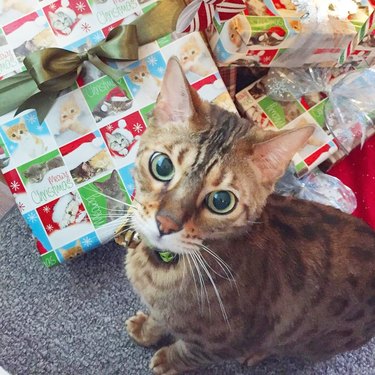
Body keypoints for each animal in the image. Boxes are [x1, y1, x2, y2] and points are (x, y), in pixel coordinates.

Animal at [124, 57, 375, 374]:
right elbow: (160, 318)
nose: (165, 224)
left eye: (221, 201)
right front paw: (147, 329)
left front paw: (168, 361)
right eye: (162, 166)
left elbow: (187, 352)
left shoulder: (220, 344)